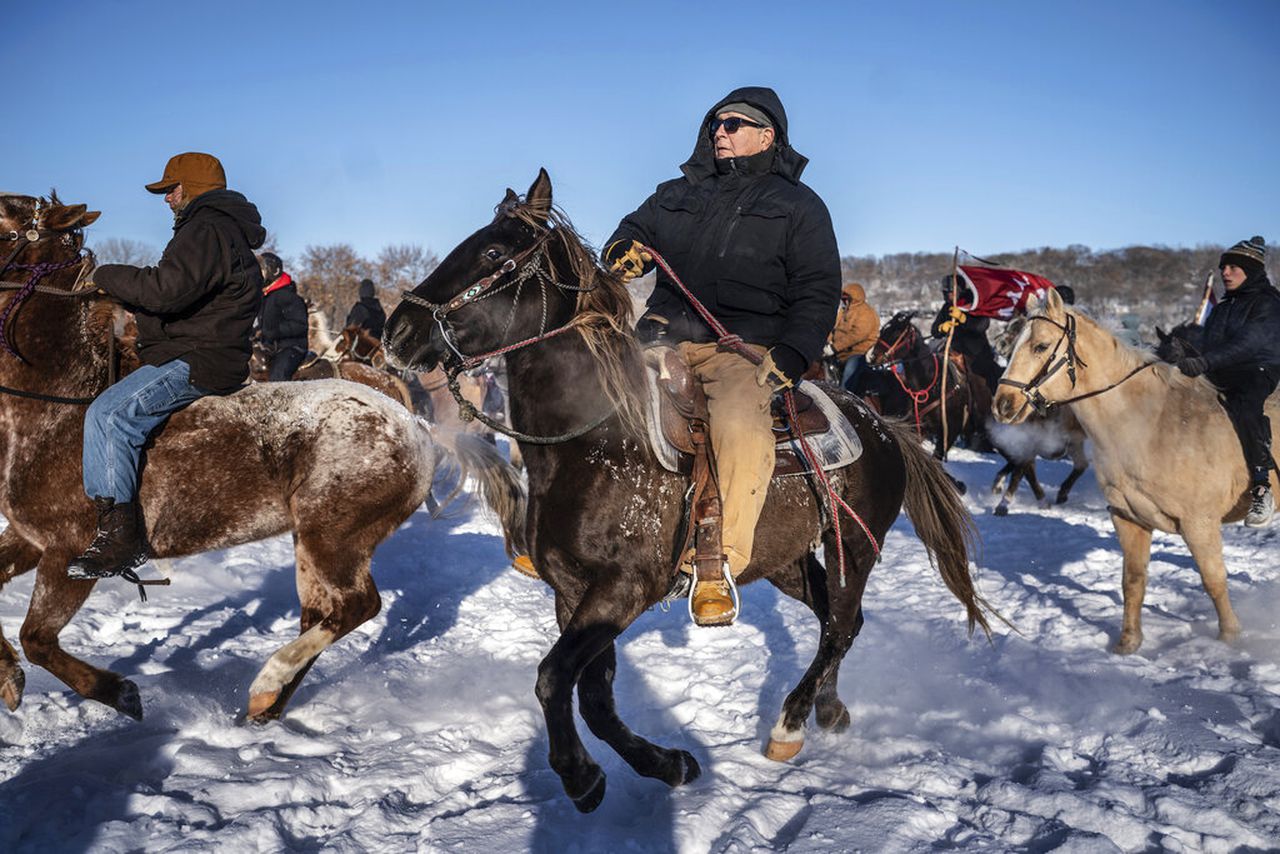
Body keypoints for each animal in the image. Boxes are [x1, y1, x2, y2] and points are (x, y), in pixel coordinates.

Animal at [0, 192, 524, 722]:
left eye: (6, 221)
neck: (59, 400)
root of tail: (415, 424)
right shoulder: (29, 538)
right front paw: (8, 676)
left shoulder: (67, 552)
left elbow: (37, 639)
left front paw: (119, 692)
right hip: (313, 542)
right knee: (321, 613)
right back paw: (269, 703)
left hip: (334, 537)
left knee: (356, 607)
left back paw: (268, 680)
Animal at [373, 169, 993, 814]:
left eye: (494, 254)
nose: (397, 331)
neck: (594, 438)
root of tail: (885, 428)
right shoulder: (573, 593)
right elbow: (594, 696)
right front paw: (667, 764)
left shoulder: (623, 590)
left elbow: (553, 678)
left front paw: (579, 775)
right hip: (787, 561)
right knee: (836, 620)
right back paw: (827, 707)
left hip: (858, 544)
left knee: (842, 624)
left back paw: (790, 723)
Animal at [988, 289, 1259, 655]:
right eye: (1012, 343)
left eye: (1041, 346)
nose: (1002, 404)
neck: (1148, 424)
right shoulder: (1128, 517)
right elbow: (1132, 581)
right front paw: (1129, 642)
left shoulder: (1199, 523)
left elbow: (1213, 578)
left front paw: (1230, 637)